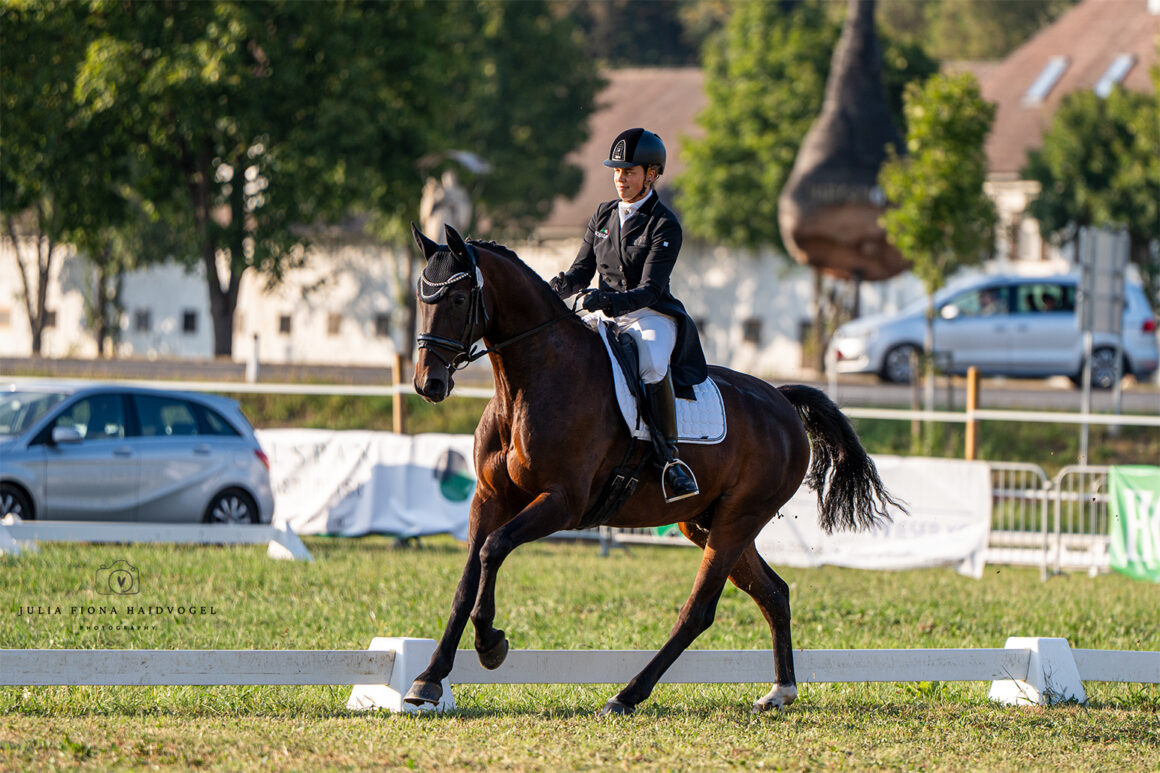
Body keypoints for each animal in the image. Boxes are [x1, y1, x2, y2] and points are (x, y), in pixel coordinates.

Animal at [408, 221, 904, 710]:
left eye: (458, 298)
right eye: (420, 297)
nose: (428, 383)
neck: (529, 382)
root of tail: (781, 400)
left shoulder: (562, 503)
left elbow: (493, 549)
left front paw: (490, 644)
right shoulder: (489, 497)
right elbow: (467, 580)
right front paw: (429, 678)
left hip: (738, 519)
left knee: (699, 611)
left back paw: (628, 695)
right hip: (706, 522)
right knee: (774, 593)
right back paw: (781, 690)